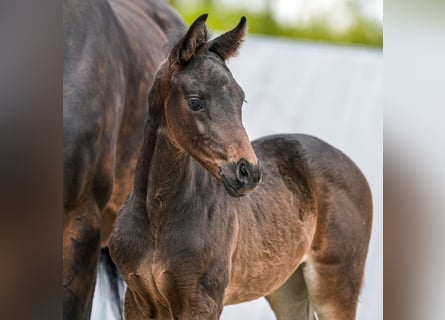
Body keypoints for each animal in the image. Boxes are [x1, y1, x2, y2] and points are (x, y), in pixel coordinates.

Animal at [109, 14, 372, 320]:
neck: (157, 217)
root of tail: (352, 166)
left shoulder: (202, 301)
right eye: (195, 101)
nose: (249, 172)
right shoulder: (138, 299)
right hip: (287, 286)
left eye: (240, 99)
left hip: (336, 286)